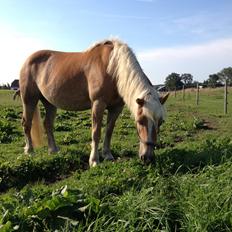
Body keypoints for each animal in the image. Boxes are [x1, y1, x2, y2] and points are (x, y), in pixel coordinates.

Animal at [19, 39, 169, 167]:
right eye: (140, 121)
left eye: (161, 122)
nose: (148, 158)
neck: (112, 67)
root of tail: (27, 60)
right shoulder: (98, 103)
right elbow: (96, 132)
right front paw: (94, 160)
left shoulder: (116, 107)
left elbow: (109, 131)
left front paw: (107, 155)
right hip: (29, 100)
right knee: (27, 123)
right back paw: (30, 151)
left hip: (50, 103)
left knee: (48, 124)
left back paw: (53, 150)